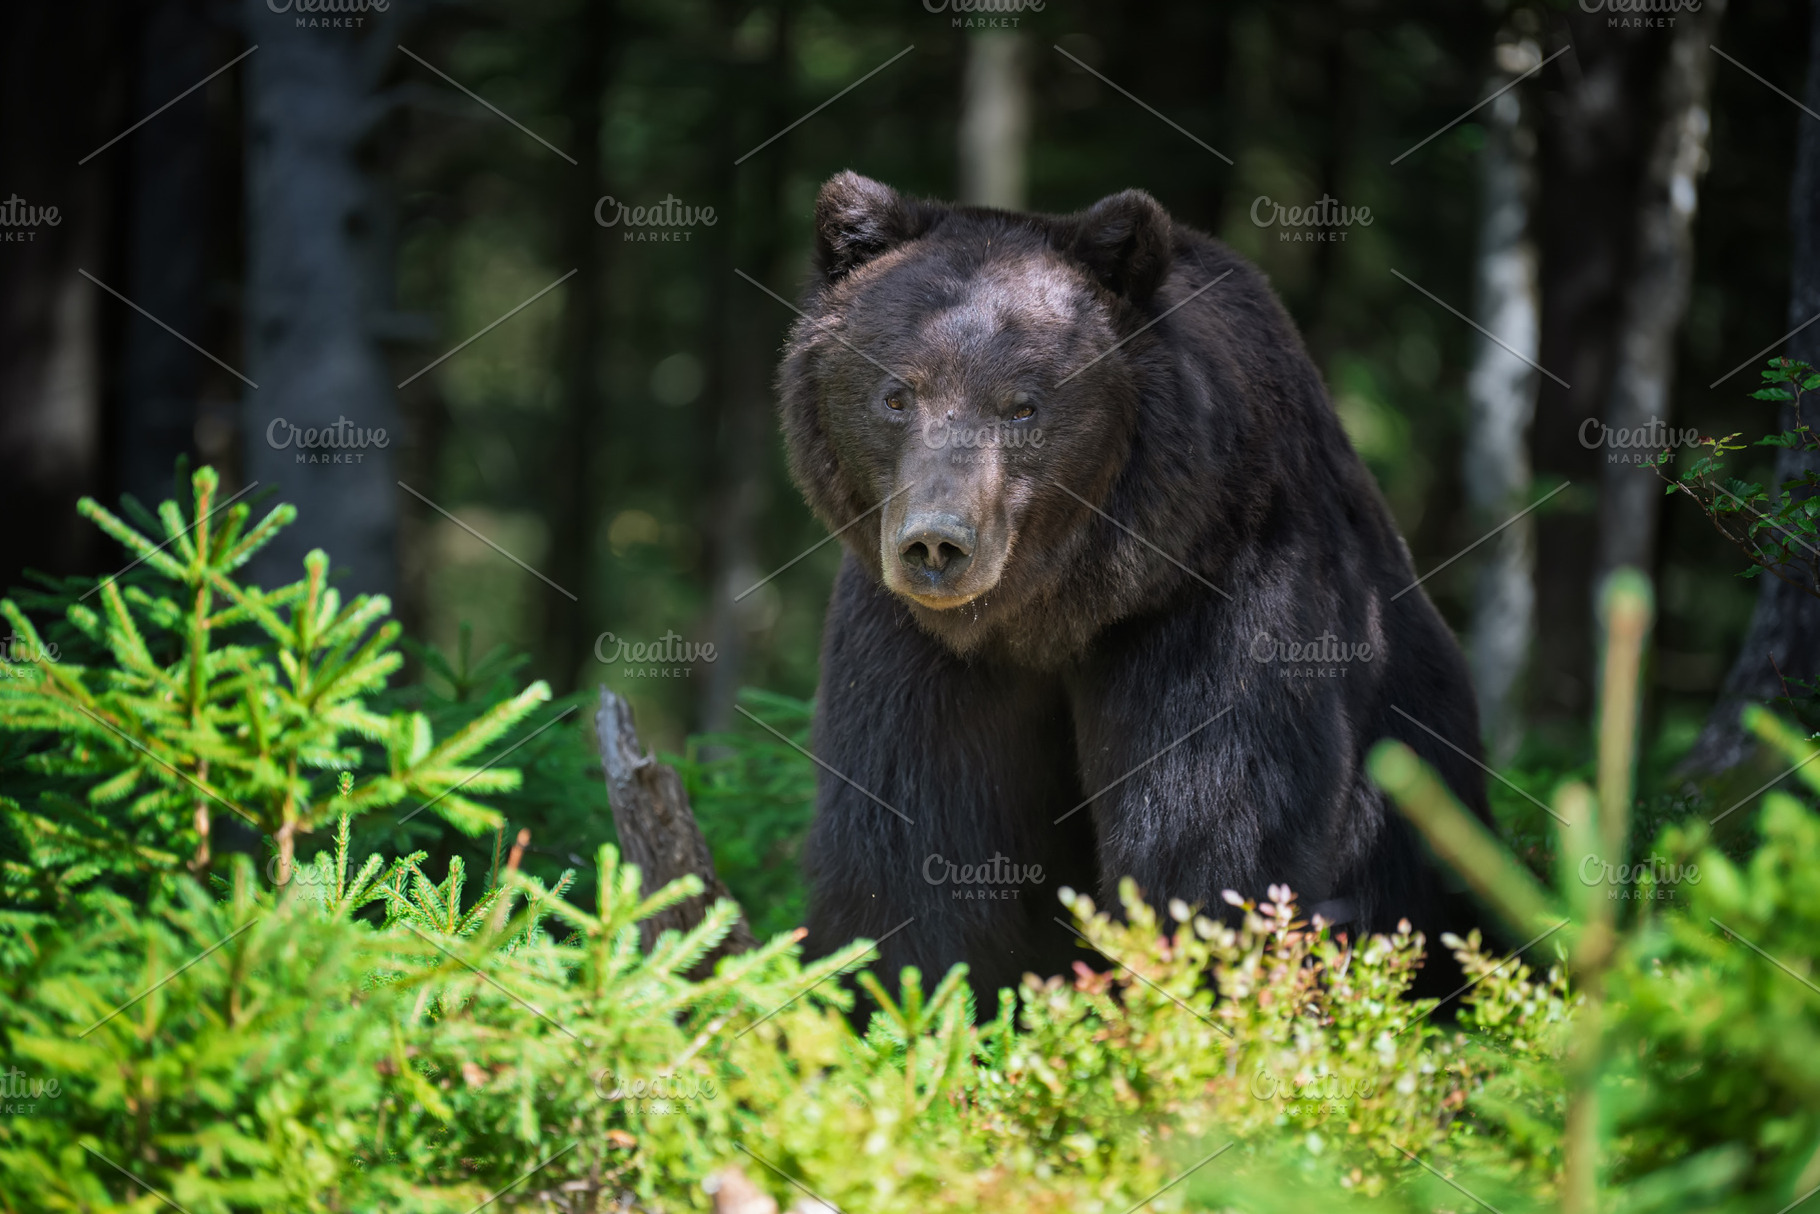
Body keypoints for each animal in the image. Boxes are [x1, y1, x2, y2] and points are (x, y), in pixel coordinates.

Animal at [776, 171, 1492, 1013]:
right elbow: (909, 838)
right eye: (897, 395)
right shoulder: (914, 643)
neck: (1057, 610)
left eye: (1022, 404)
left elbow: (1214, 834)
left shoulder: (1221, 597)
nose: (937, 544)